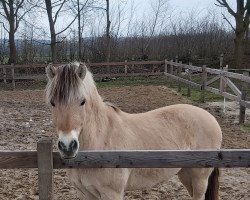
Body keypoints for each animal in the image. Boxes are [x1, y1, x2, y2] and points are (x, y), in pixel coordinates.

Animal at [45, 62, 223, 200]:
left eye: (82, 101)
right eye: (52, 102)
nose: (68, 147)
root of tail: (211, 118)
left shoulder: (112, 193)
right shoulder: (85, 193)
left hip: (199, 177)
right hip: (185, 173)